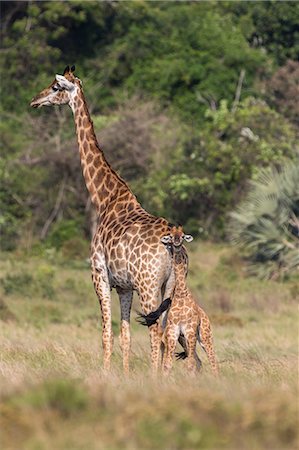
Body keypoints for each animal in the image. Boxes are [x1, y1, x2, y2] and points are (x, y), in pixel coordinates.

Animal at [29, 66, 186, 372]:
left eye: (55, 87)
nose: (35, 100)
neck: (105, 198)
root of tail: (173, 244)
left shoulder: (99, 277)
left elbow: (106, 335)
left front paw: (106, 374)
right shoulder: (124, 286)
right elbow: (125, 336)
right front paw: (123, 375)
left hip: (149, 286)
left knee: (155, 332)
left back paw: (155, 378)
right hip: (170, 287)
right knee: (166, 332)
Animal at [138, 225, 218, 376]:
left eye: (182, 236)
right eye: (170, 235)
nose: (176, 242)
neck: (181, 294)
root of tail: (206, 316)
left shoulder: (189, 331)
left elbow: (190, 364)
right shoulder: (173, 333)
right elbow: (167, 365)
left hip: (205, 336)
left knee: (212, 361)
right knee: (200, 361)